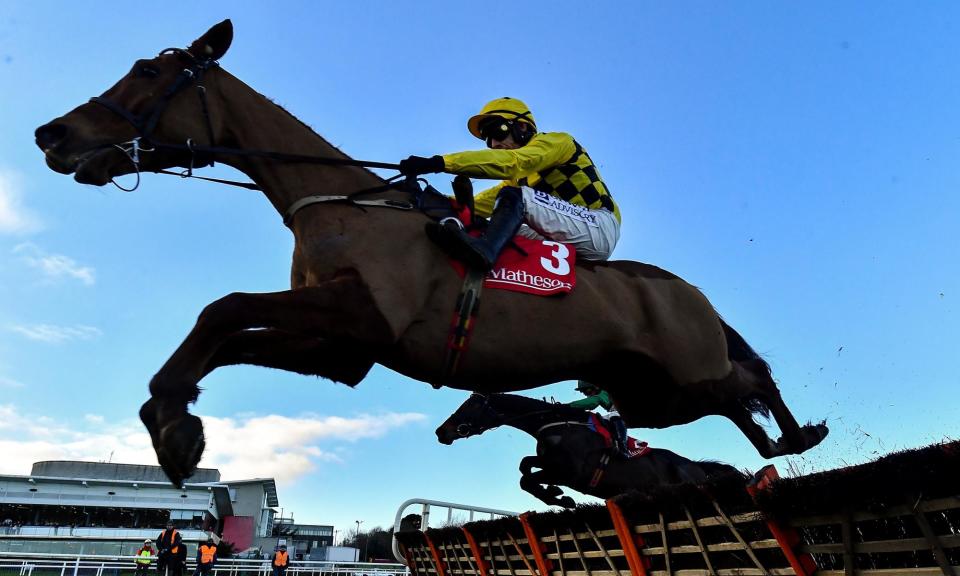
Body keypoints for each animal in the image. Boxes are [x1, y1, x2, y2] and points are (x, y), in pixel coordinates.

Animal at [33, 19, 828, 486]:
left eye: (147, 71)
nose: (51, 134)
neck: (343, 204)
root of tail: (687, 291)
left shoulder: (363, 314)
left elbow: (221, 308)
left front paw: (173, 421)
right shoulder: (341, 347)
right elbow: (228, 336)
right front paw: (174, 421)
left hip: (683, 381)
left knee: (750, 379)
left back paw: (797, 433)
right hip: (649, 395)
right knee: (740, 392)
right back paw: (783, 442)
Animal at [438, 392, 748, 508]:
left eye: (470, 405)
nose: (441, 431)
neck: (555, 425)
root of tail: (696, 465)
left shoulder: (570, 473)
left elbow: (527, 477)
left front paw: (559, 497)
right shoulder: (550, 462)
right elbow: (525, 467)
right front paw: (554, 494)